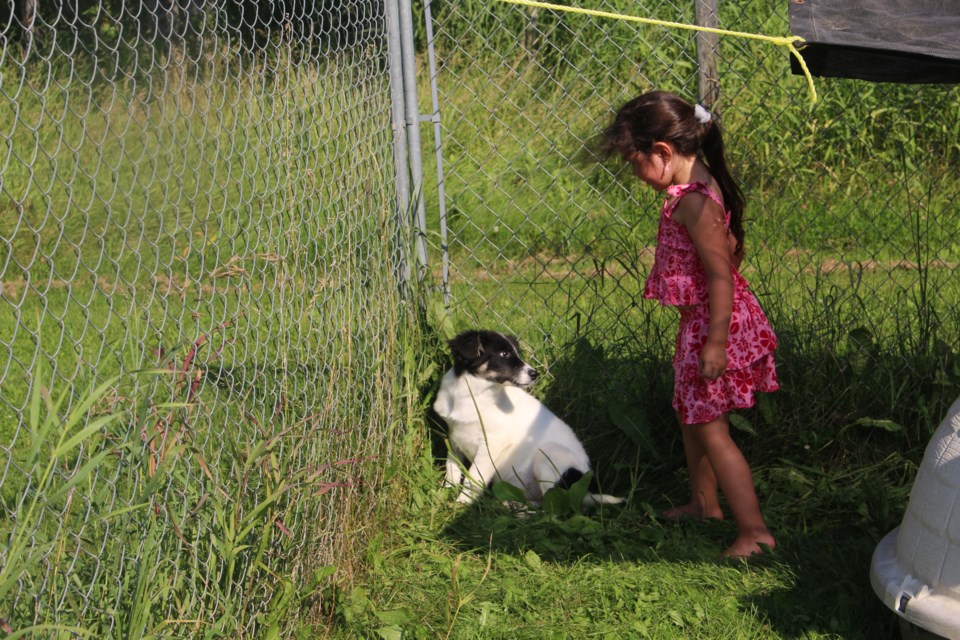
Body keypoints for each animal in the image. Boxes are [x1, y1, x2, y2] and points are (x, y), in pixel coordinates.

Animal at [434, 330, 624, 504]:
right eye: (504, 354)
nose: (535, 374)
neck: (472, 394)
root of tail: (588, 493)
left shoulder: (493, 443)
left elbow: (474, 477)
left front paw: (462, 503)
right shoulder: (454, 436)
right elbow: (452, 467)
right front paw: (446, 491)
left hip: (550, 455)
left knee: (552, 506)